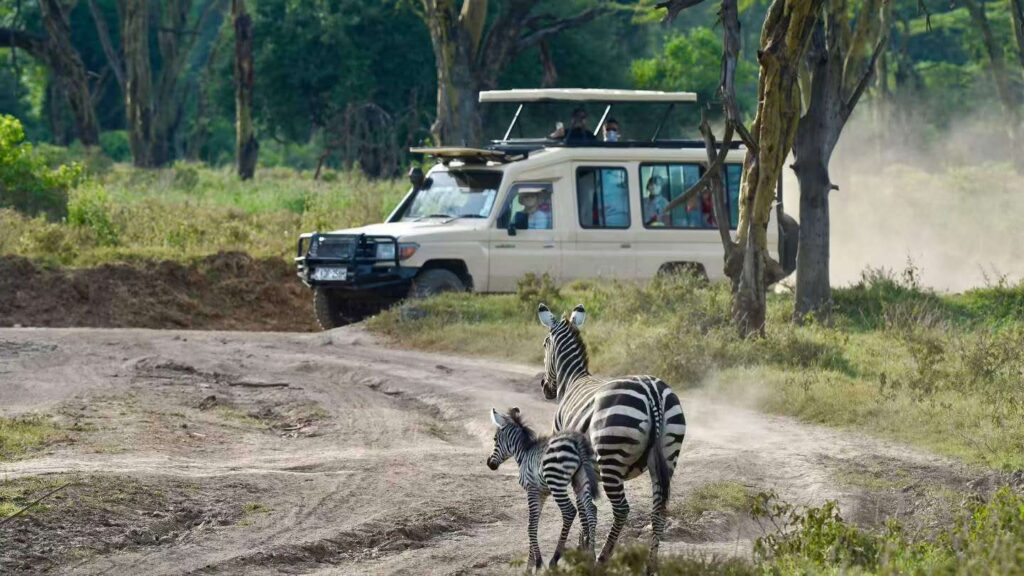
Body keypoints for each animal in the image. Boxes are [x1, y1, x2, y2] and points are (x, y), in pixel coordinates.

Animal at [487, 406, 600, 571]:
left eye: (495, 439)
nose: (489, 464)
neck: (524, 453)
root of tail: (576, 441)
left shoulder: (532, 489)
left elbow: (530, 526)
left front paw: (537, 563)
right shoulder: (542, 494)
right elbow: (534, 524)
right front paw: (530, 564)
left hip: (556, 482)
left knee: (569, 511)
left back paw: (555, 558)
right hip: (581, 480)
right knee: (592, 509)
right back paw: (591, 556)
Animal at [537, 303, 686, 573]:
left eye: (545, 344)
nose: (545, 388)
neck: (572, 380)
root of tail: (652, 392)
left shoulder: (571, 462)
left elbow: (584, 508)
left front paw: (584, 552)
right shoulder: (587, 468)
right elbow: (589, 507)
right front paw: (584, 547)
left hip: (611, 459)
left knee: (622, 510)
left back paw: (602, 559)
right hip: (668, 458)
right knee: (659, 511)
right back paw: (651, 566)